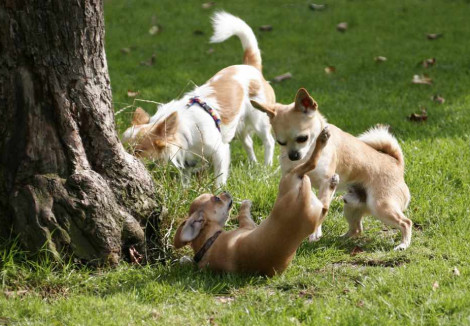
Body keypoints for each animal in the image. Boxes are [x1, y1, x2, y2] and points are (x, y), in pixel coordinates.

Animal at [121, 12, 276, 186]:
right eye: (124, 146)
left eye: (138, 151)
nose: (125, 159)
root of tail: (250, 67)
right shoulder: (186, 158)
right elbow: (185, 178)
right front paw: (185, 189)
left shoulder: (220, 151)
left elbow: (219, 177)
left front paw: (219, 191)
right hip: (239, 124)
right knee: (248, 142)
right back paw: (253, 164)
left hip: (259, 119)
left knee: (269, 141)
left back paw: (266, 167)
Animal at [173, 126, 338, 276]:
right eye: (217, 199)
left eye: (214, 196)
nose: (225, 191)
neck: (208, 242)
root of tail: (302, 199)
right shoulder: (247, 225)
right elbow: (243, 213)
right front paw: (246, 203)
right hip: (291, 178)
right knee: (312, 168)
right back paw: (325, 149)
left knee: (324, 204)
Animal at [253, 88, 412, 250]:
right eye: (280, 142)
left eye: (302, 138)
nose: (293, 156)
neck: (307, 154)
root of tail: (397, 164)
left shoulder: (325, 181)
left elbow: (322, 202)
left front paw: (315, 233)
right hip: (352, 205)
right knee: (356, 229)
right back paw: (340, 239)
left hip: (381, 206)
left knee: (406, 222)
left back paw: (403, 244)